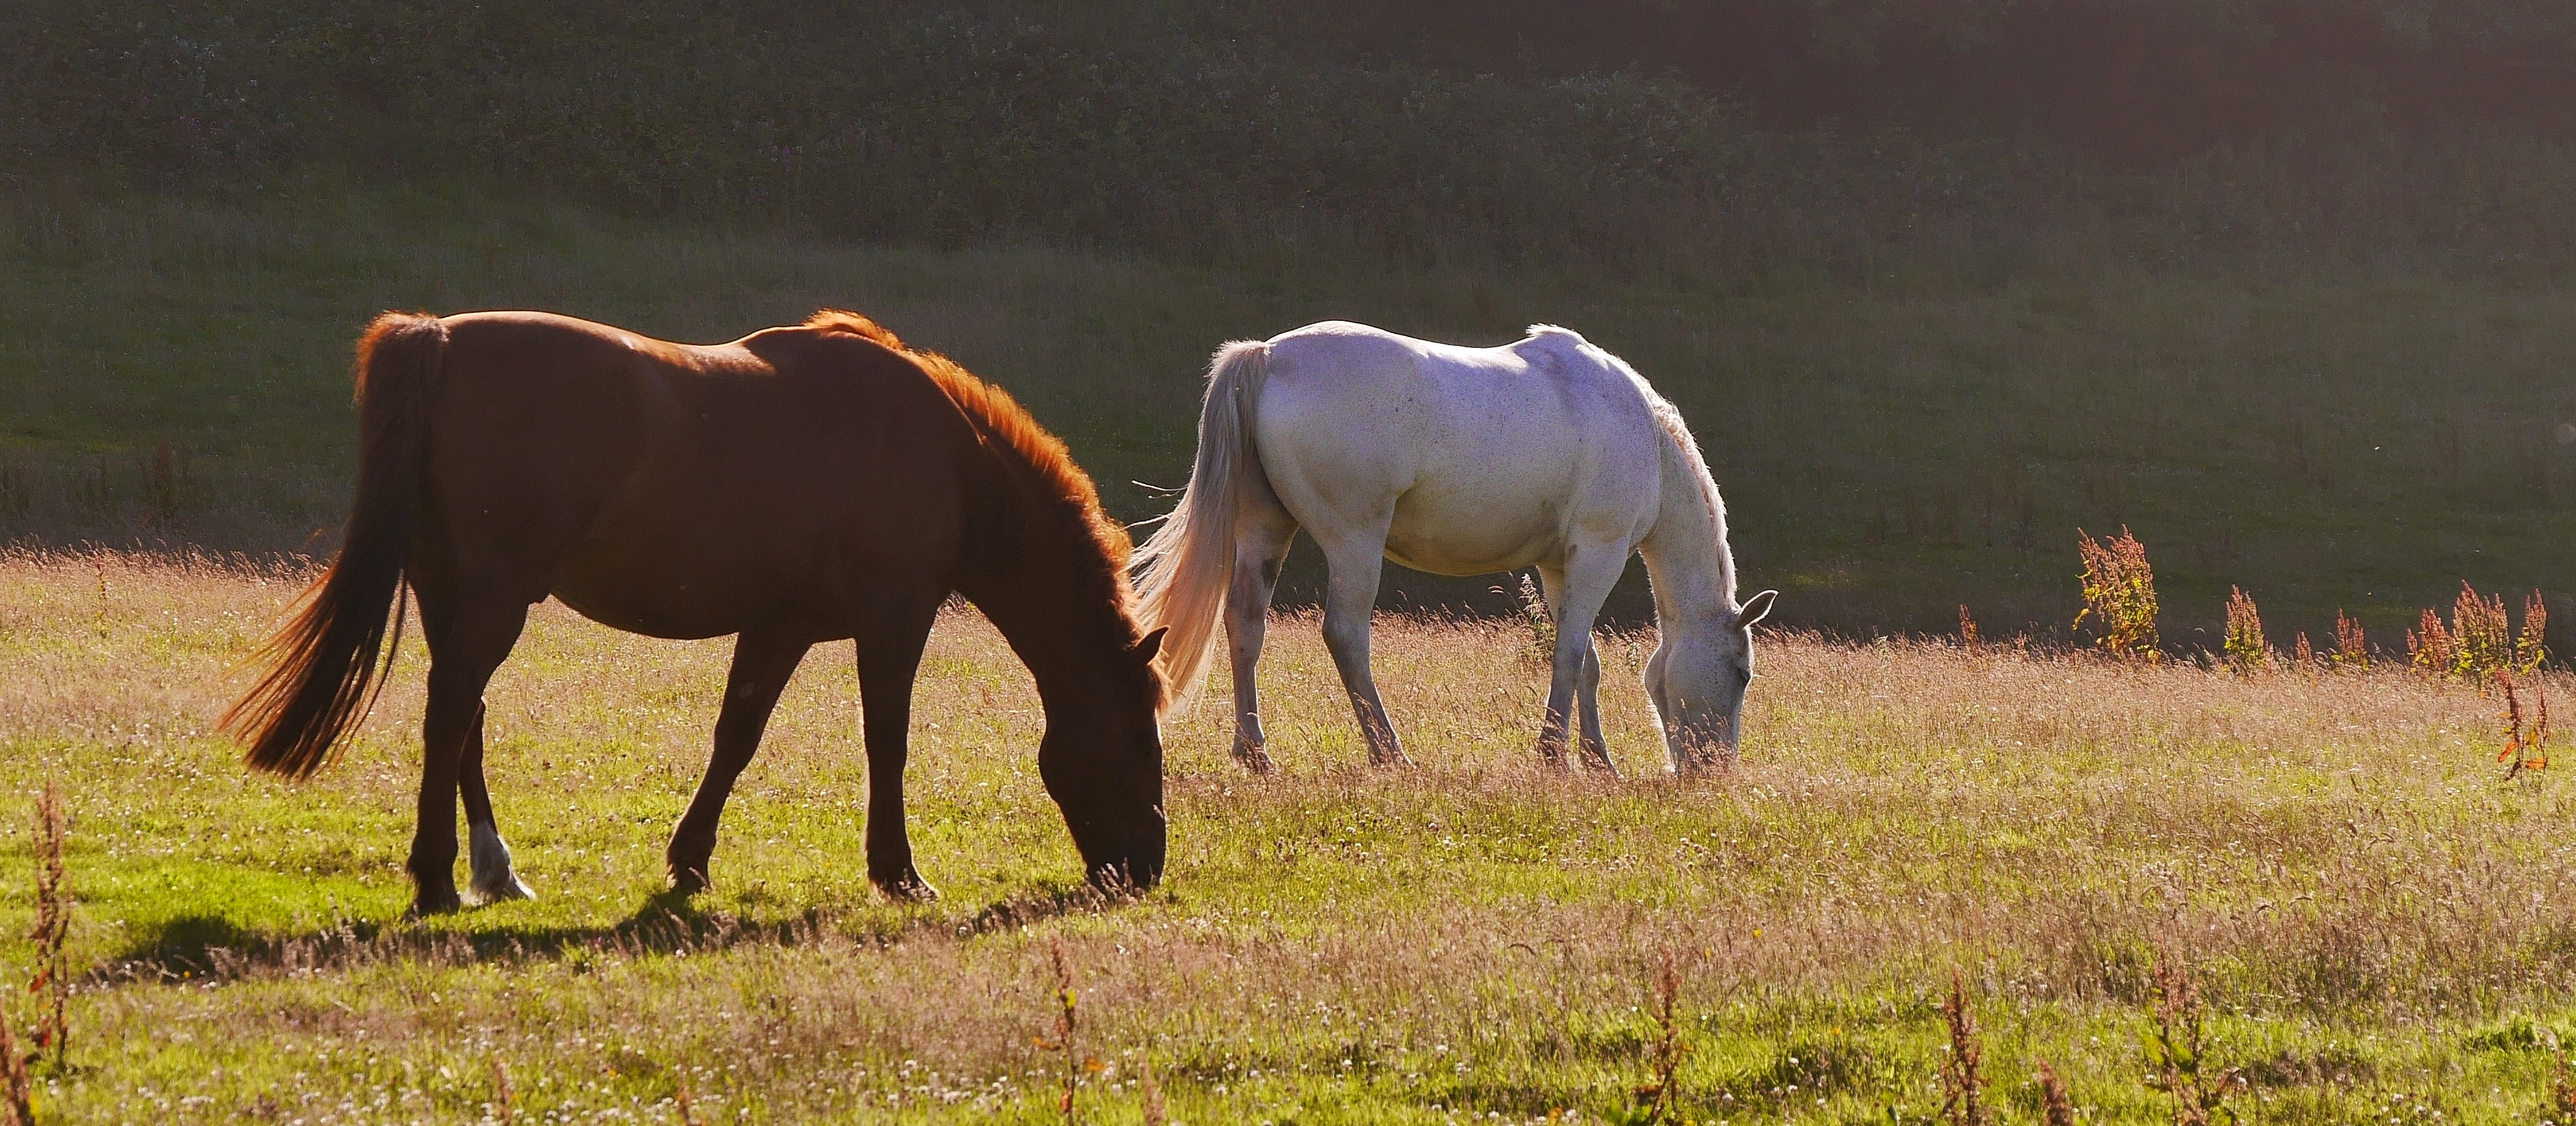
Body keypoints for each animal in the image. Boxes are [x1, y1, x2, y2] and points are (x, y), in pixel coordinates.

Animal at [221, 306, 1169, 912]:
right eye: (1136, 738)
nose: (1145, 868)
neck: (949, 458)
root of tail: (441, 338)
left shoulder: (780, 626)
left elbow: (735, 736)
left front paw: (689, 862)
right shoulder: (894, 621)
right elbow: (887, 742)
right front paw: (898, 873)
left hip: (453, 596)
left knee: (465, 721)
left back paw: (496, 868)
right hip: (492, 599)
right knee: (452, 710)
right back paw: (437, 878)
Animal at [1133, 315, 1772, 773]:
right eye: (1741, 672)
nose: (1714, 771)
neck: (1640, 432)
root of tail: (1267, 356)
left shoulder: (1558, 566)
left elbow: (1585, 662)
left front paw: (1596, 761)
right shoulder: (1599, 552)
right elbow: (1570, 655)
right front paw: (1556, 756)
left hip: (1267, 530)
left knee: (1246, 624)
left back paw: (1257, 754)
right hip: (1354, 541)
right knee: (1345, 635)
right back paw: (1389, 752)